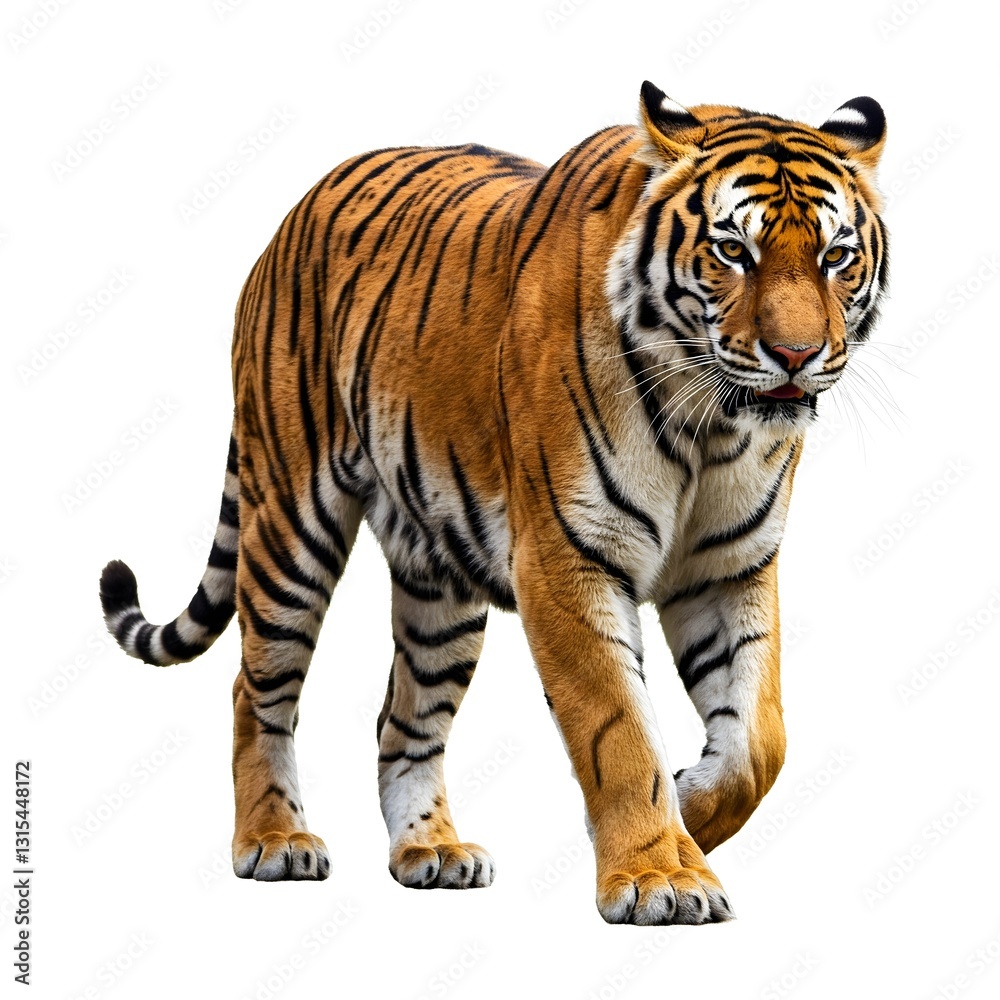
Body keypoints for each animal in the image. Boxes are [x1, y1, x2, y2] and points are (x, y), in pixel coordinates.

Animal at [99, 80, 888, 925]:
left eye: (836, 257)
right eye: (733, 252)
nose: (797, 356)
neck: (710, 424)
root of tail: (291, 217)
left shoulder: (728, 567)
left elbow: (760, 740)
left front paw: (689, 811)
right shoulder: (567, 561)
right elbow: (619, 728)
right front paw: (657, 876)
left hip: (438, 583)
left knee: (402, 720)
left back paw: (431, 851)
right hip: (289, 523)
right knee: (256, 688)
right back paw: (275, 839)